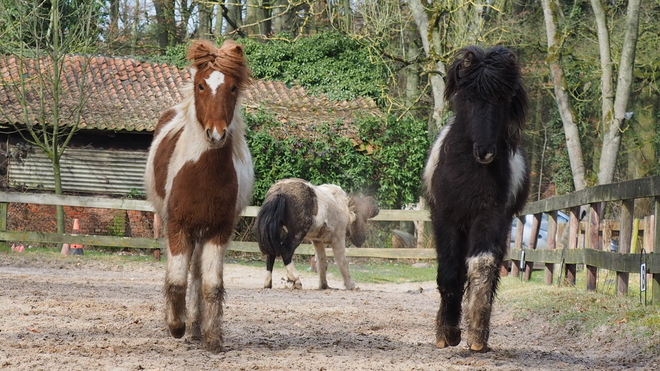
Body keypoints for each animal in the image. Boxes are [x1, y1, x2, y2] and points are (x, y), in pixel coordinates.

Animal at [144, 39, 253, 354]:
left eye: (233, 87)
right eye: (201, 85)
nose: (216, 135)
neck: (202, 176)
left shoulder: (219, 231)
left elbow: (211, 285)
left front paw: (213, 338)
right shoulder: (177, 227)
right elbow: (176, 281)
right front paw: (175, 326)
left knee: (198, 275)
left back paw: (196, 329)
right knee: (186, 275)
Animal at [422, 45, 532, 352]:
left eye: (502, 99)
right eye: (468, 97)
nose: (485, 152)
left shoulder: (490, 216)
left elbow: (482, 267)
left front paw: (477, 335)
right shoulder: (445, 218)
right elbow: (449, 272)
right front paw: (447, 332)